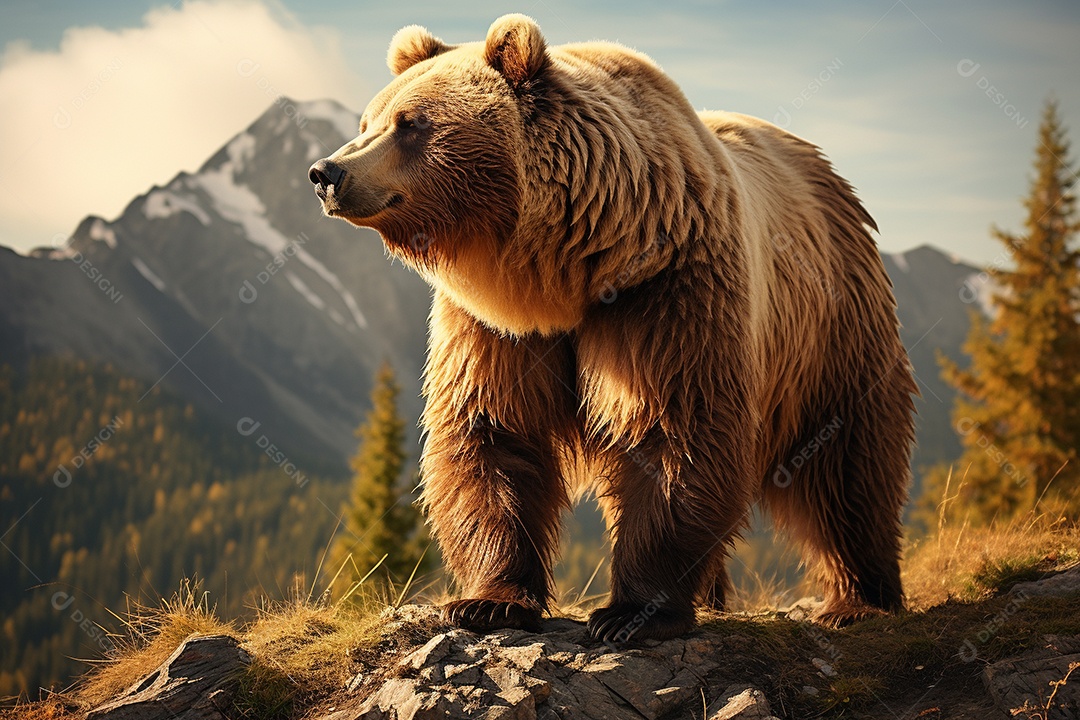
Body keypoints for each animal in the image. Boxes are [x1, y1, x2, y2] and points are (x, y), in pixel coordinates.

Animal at [308, 14, 916, 642]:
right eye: (369, 121)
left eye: (411, 123)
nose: (326, 172)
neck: (562, 272)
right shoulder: (493, 327)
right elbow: (491, 430)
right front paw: (488, 601)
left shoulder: (666, 291)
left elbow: (674, 429)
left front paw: (630, 613)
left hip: (832, 328)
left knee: (848, 461)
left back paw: (860, 599)